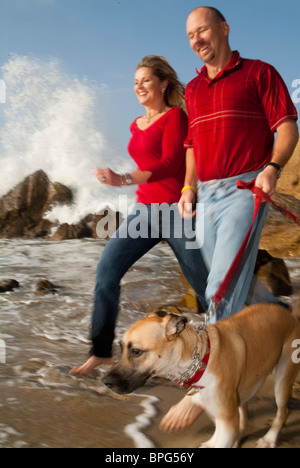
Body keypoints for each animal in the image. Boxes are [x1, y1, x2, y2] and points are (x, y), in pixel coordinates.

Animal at [102, 304, 300, 450]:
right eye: (120, 347)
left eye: (136, 351)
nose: (105, 381)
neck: (201, 361)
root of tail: (288, 314)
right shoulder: (219, 412)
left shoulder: (226, 420)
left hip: (282, 378)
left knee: (282, 412)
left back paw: (269, 439)